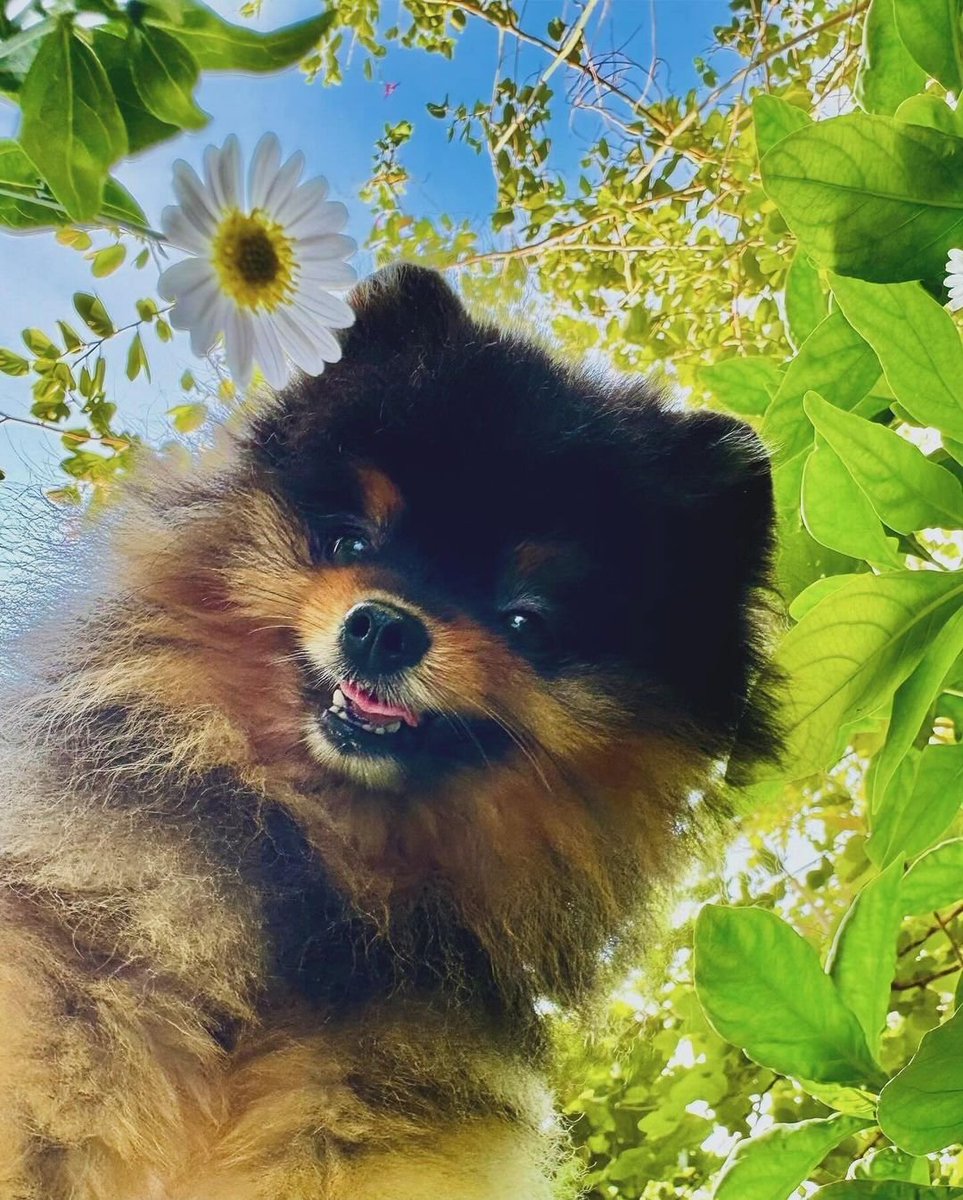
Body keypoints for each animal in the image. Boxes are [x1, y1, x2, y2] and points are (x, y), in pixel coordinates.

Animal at [0, 267, 778, 1195]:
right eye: (349, 541)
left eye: (526, 622)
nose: (381, 629)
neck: (320, 868)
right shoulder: (83, 987)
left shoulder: (363, 1118)